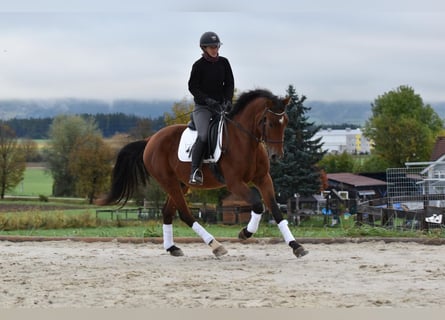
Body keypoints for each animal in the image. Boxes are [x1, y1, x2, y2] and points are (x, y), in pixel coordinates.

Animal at [95, 89, 306, 258]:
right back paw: (216, 246)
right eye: (269, 123)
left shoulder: (263, 179)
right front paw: (245, 233)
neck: (246, 141)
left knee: (167, 212)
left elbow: (276, 209)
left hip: (181, 184)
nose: (277, 156)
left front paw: (296, 246)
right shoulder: (234, 182)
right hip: (168, 181)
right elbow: (257, 203)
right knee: (185, 214)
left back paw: (172, 248)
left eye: (285, 122)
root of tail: (151, 140)